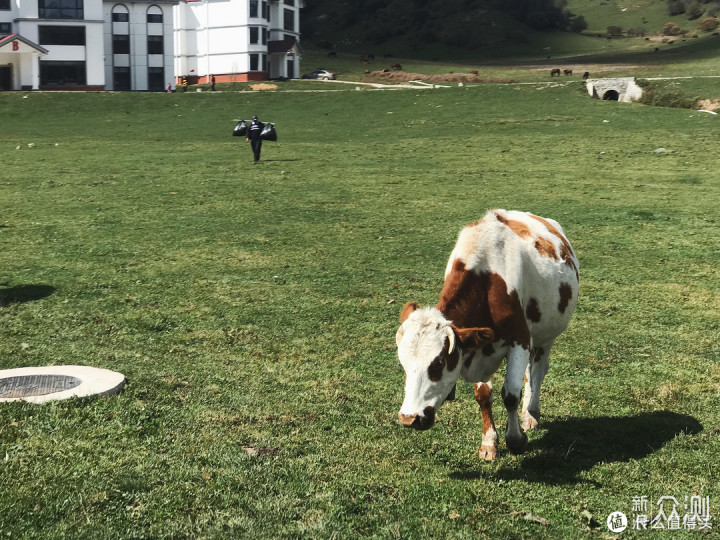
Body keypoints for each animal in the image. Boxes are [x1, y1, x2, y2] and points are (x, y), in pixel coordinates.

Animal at [394, 210, 580, 460]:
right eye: (403, 363)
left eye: (438, 362)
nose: (409, 418)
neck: (488, 278)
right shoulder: (475, 346)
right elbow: (483, 395)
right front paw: (489, 442)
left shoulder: (520, 339)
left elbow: (510, 394)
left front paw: (516, 439)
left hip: (546, 336)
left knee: (538, 370)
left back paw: (531, 413)